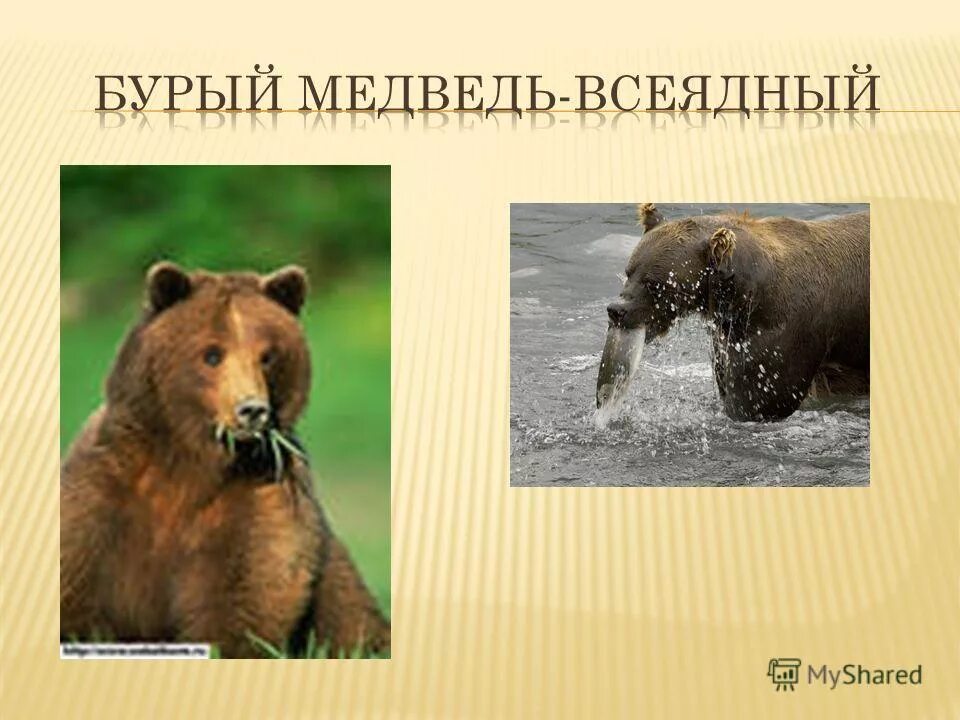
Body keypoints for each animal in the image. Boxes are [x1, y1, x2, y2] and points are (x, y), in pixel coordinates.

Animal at [60, 262, 390, 658]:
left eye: (268, 355)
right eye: (212, 354)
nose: (252, 410)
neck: (189, 461)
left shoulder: (260, 494)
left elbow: (246, 590)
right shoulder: (107, 485)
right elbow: (77, 576)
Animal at [599, 204, 869, 421]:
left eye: (654, 283)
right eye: (629, 272)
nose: (617, 310)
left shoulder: (785, 333)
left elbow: (759, 399)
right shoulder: (729, 337)